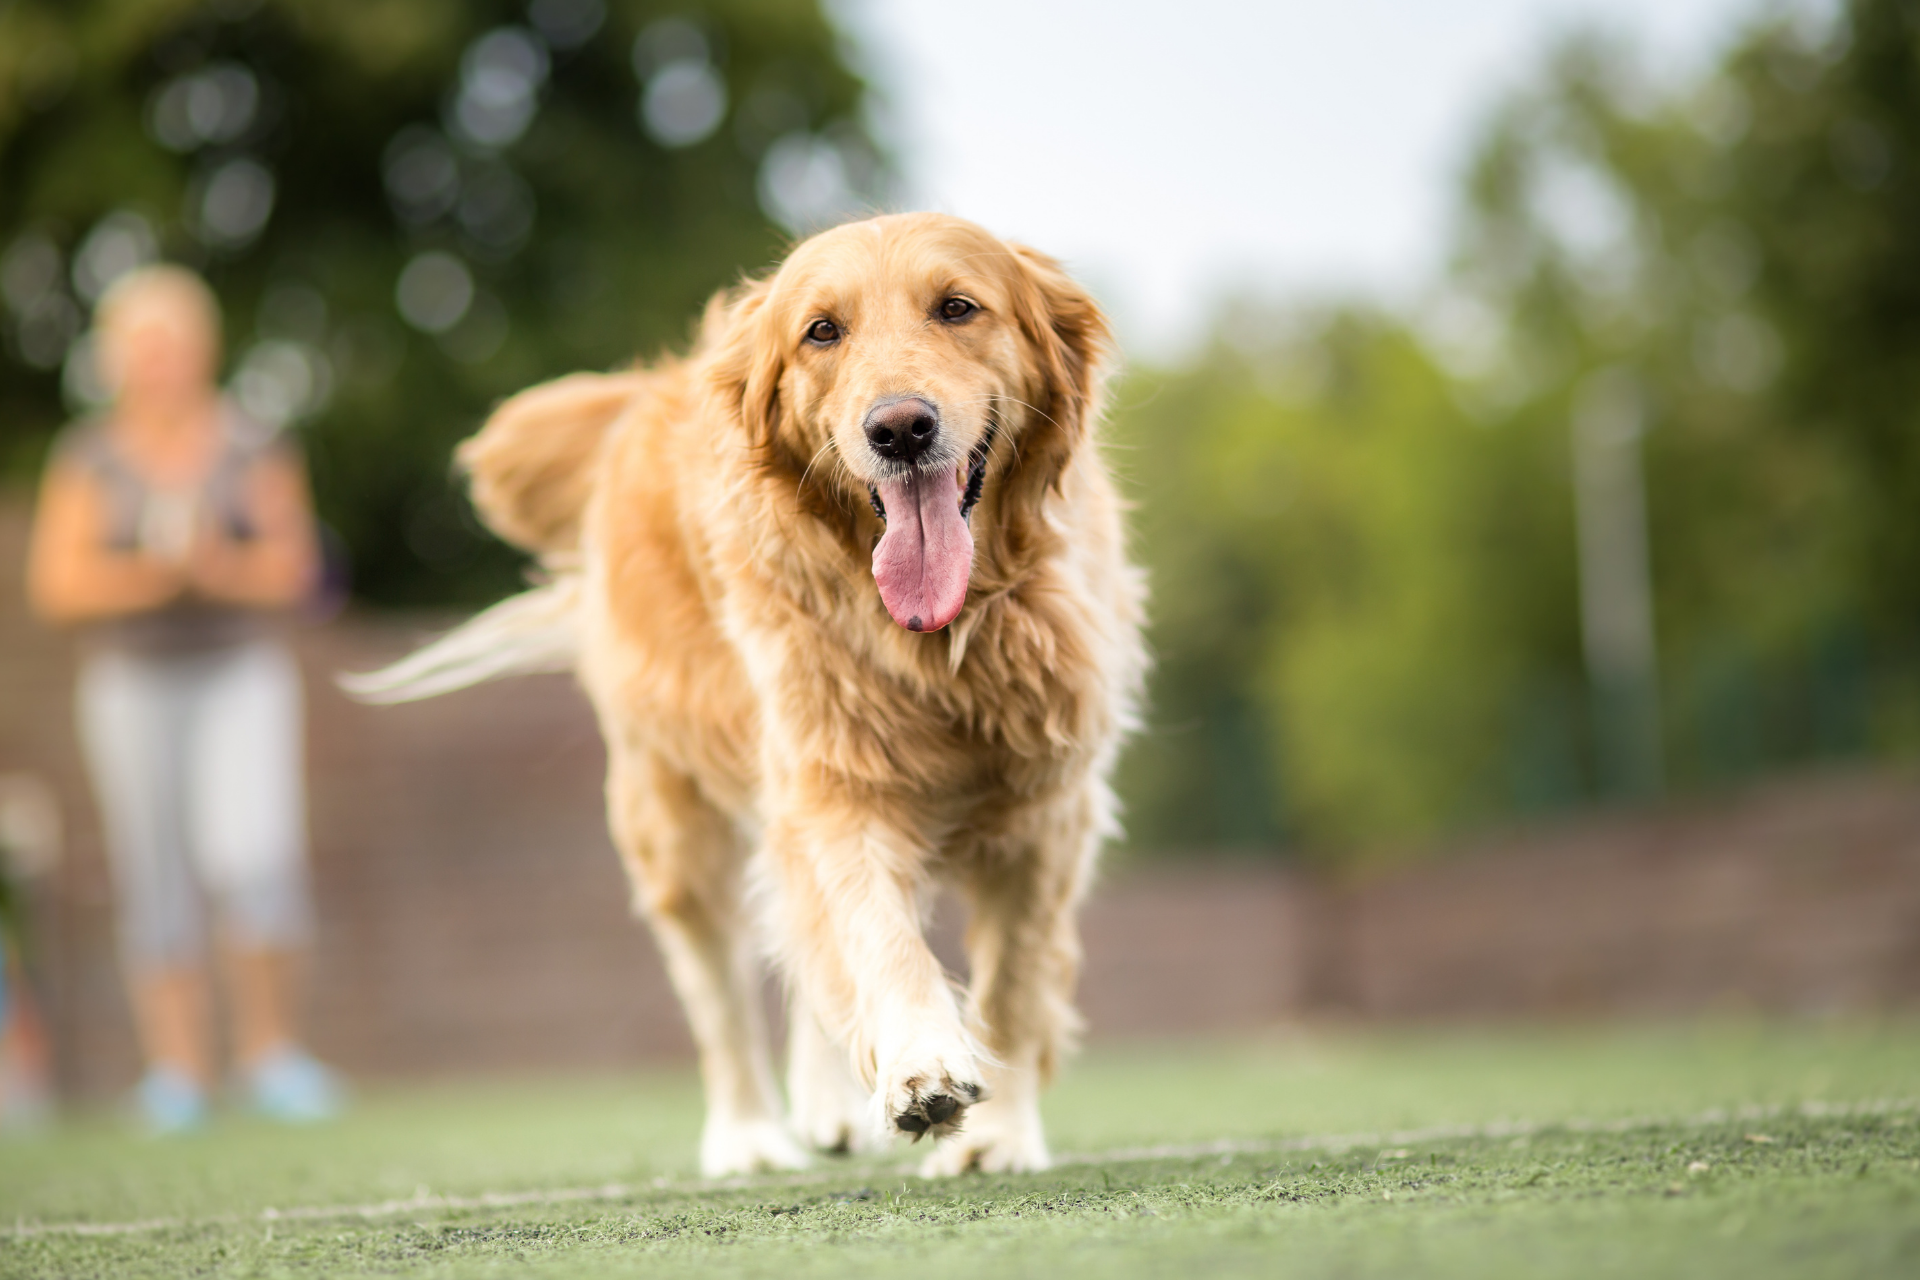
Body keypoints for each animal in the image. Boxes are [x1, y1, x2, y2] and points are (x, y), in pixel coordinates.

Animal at [349, 213, 1136, 1182]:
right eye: (822, 331)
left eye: (958, 308)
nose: (900, 429)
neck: (940, 640)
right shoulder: (833, 782)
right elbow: (873, 935)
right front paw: (919, 1063)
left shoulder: (1049, 806)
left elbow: (1017, 983)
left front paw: (998, 1139)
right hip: (671, 822)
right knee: (720, 993)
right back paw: (752, 1137)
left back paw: (828, 1109)